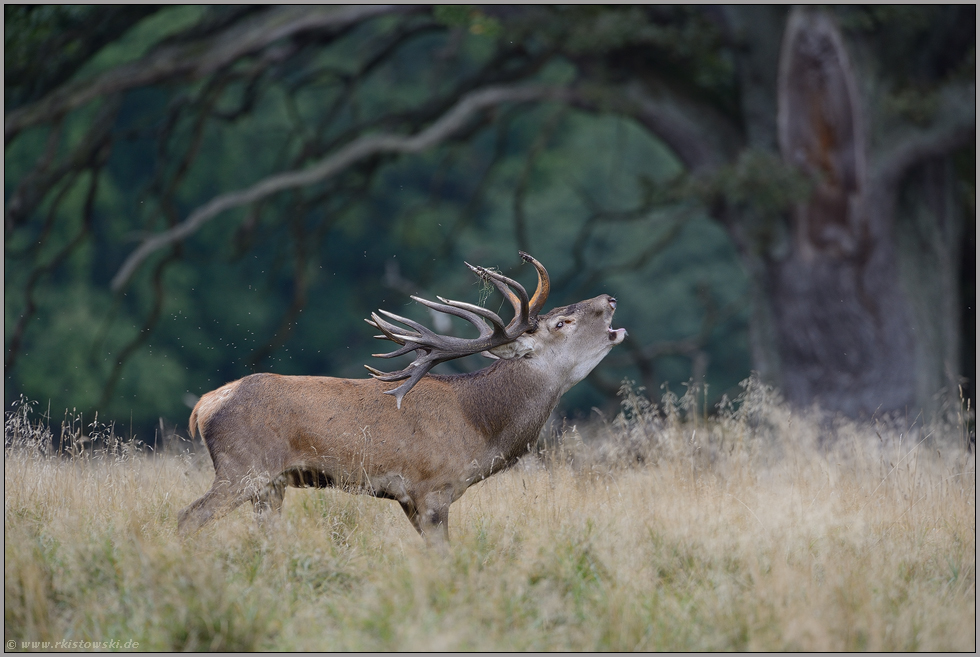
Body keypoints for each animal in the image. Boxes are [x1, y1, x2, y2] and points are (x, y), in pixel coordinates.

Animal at [177, 252, 627, 546]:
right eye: (561, 322)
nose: (609, 299)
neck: (480, 427)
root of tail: (204, 406)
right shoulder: (431, 488)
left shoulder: (411, 501)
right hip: (243, 467)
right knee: (188, 516)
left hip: (269, 485)